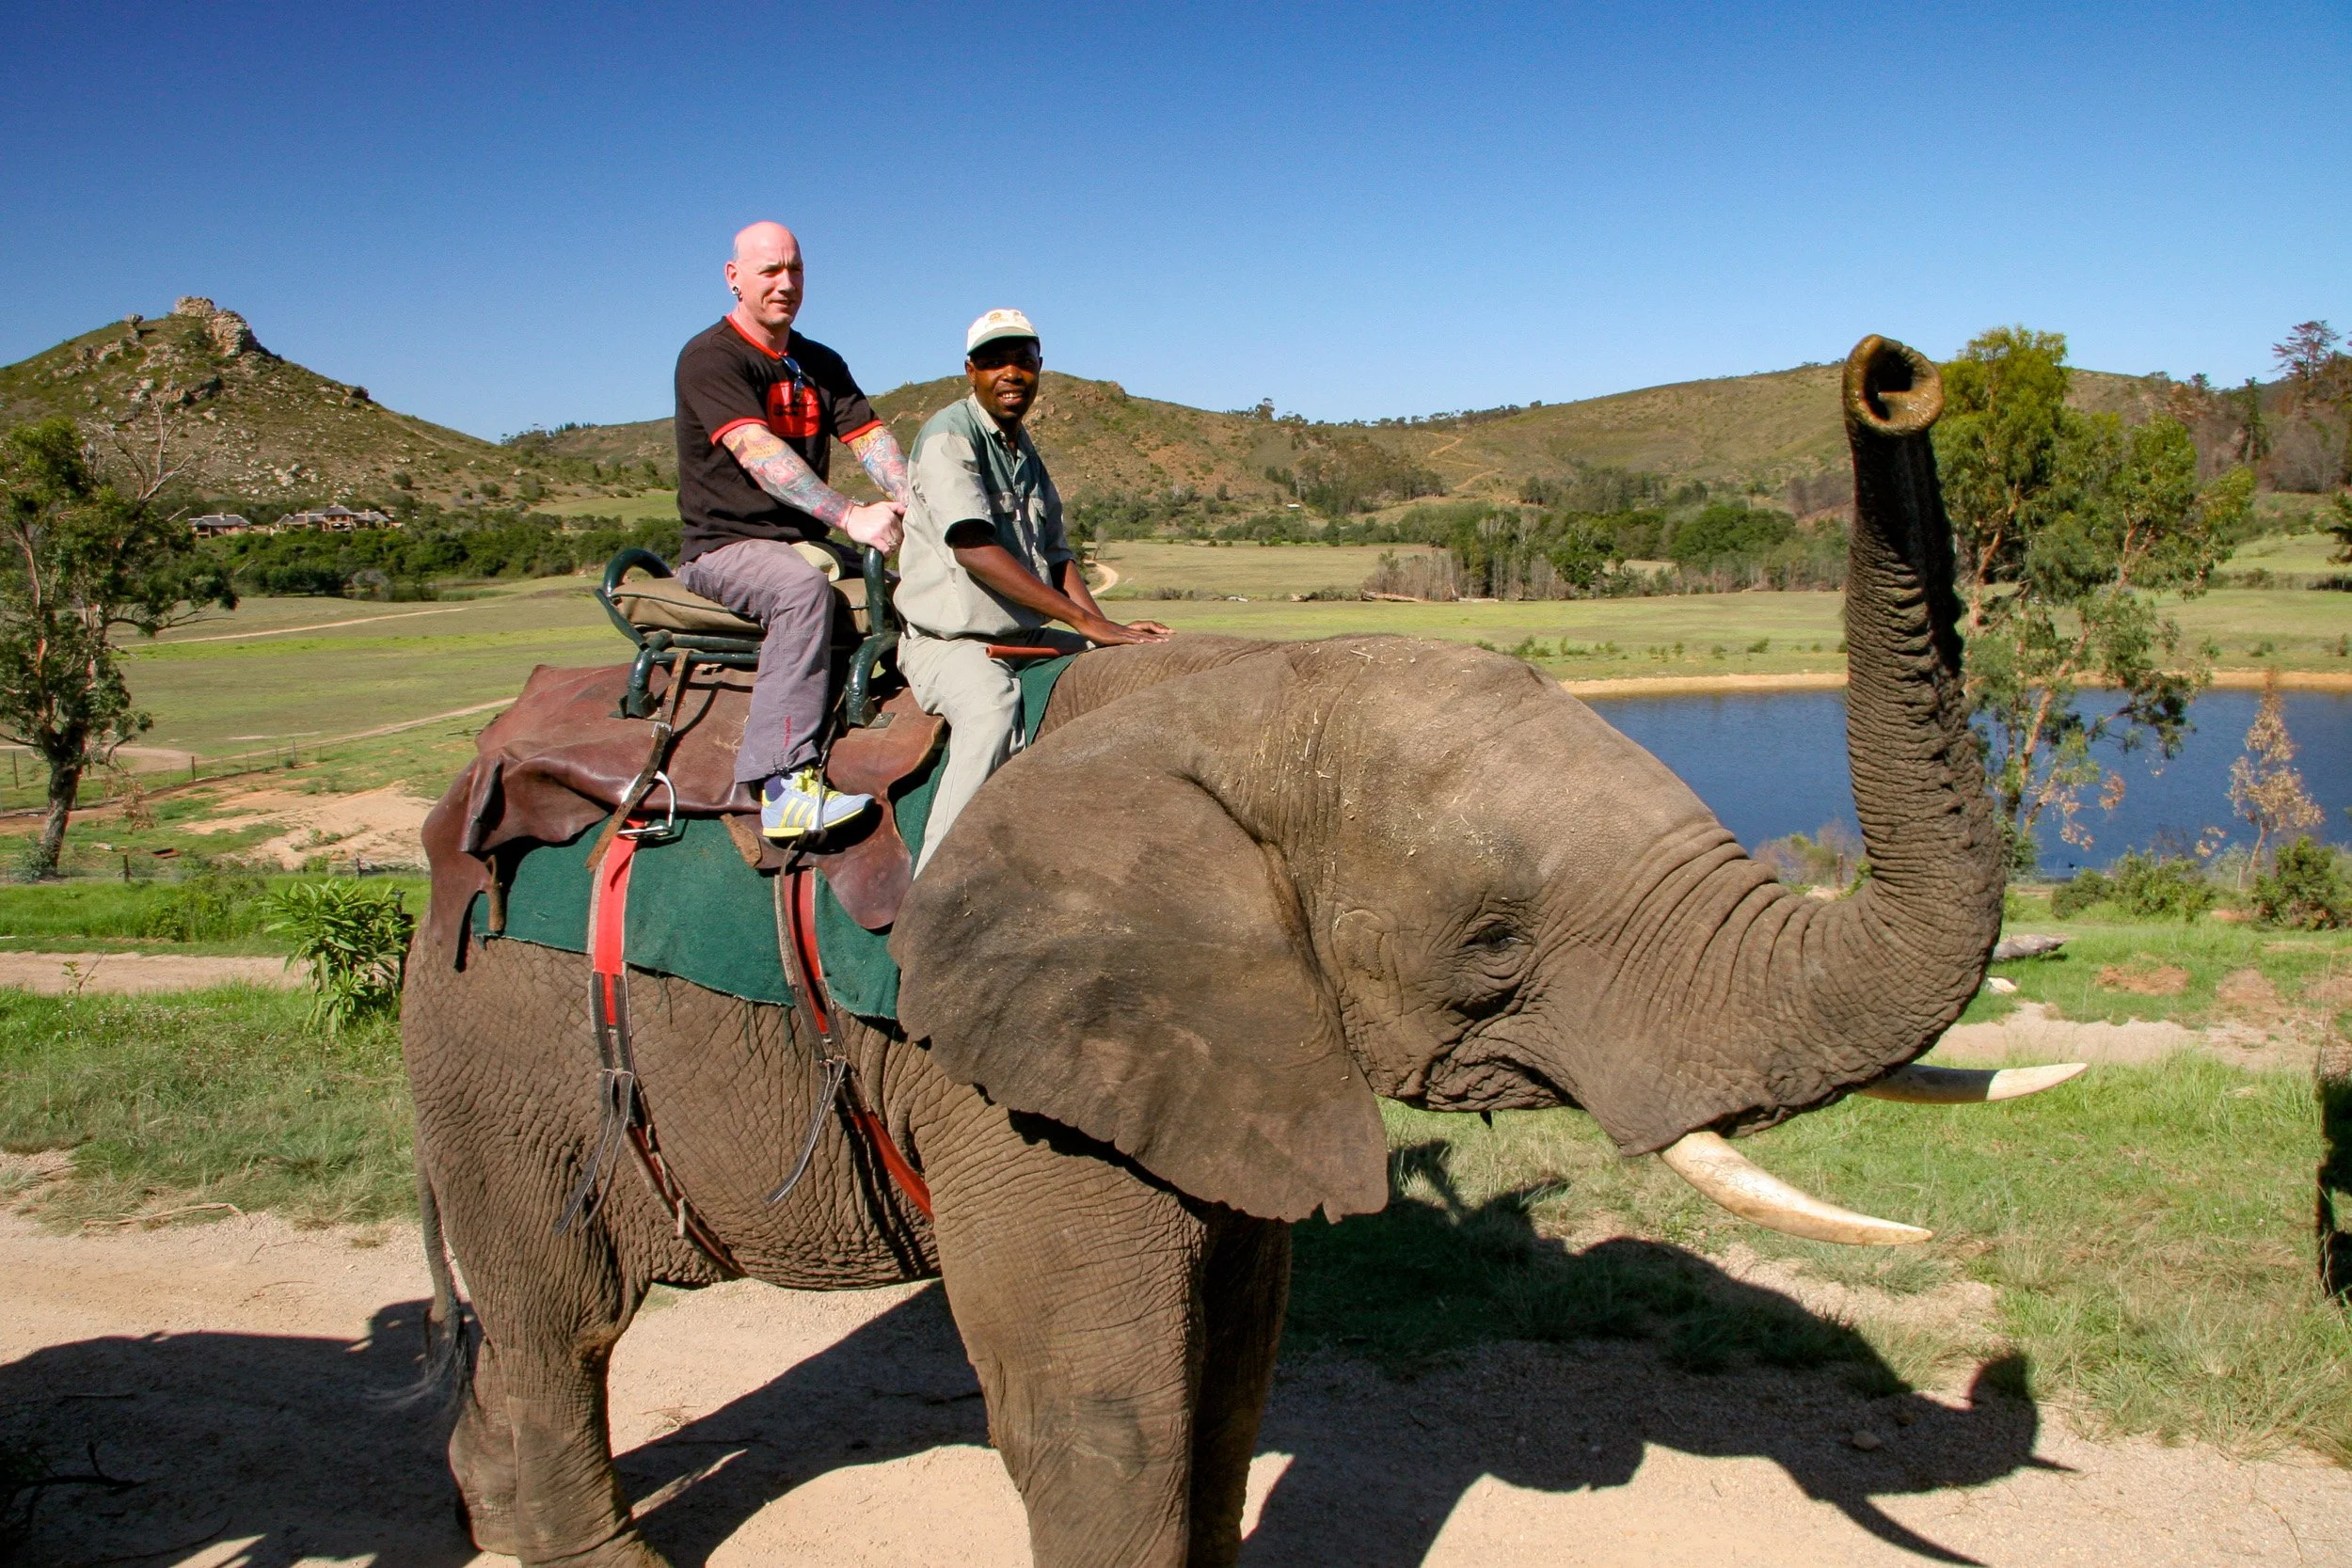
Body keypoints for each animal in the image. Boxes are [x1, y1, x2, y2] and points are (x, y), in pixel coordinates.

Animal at [399, 336, 2065, 1566]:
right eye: (1494, 943)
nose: (1893, 373)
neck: (1249, 693)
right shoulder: (1013, 1077)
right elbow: (1108, 1405)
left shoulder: (1226, 1038)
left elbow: (1236, 1360)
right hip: (499, 1033)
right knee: (559, 1310)